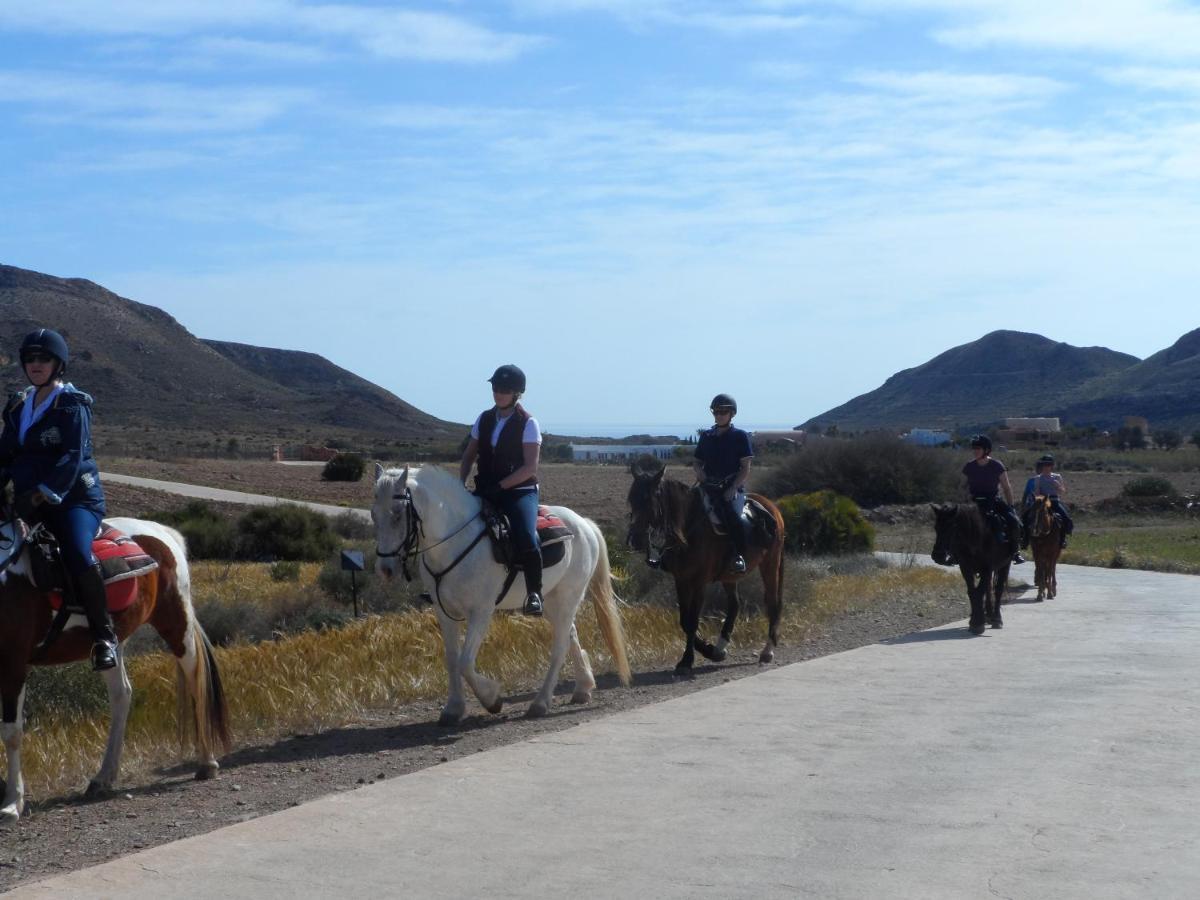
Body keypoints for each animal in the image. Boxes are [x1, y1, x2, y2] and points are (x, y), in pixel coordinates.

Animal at [0, 518, 231, 830]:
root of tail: (163, 533)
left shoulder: (13, 664)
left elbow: (11, 733)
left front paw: (12, 803)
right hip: (112, 643)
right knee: (122, 695)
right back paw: (103, 778)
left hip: (175, 623)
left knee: (196, 682)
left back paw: (207, 762)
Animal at [372, 465, 638, 724]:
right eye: (374, 514)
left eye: (398, 514)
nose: (385, 569)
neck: (455, 541)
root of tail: (584, 523)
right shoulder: (444, 612)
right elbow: (452, 659)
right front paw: (453, 708)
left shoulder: (481, 611)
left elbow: (465, 663)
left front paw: (491, 698)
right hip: (552, 602)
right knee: (570, 634)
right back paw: (583, 687)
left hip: (567, 598)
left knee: (560, 645)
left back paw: (541, 703)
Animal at [628, 458, 787, 676]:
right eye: (631, 500)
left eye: (649, 500)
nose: (635, 540)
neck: (688, 528)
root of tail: (772, 507)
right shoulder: (681, 580)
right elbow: (684, 620)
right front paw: (709, 651)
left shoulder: (699, 582)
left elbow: (693, 620)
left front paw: (687, 660)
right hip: (730, 575)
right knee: (734, 604)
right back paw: (720, 647)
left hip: (770, 563)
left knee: (772, 602)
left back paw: (767, 651)